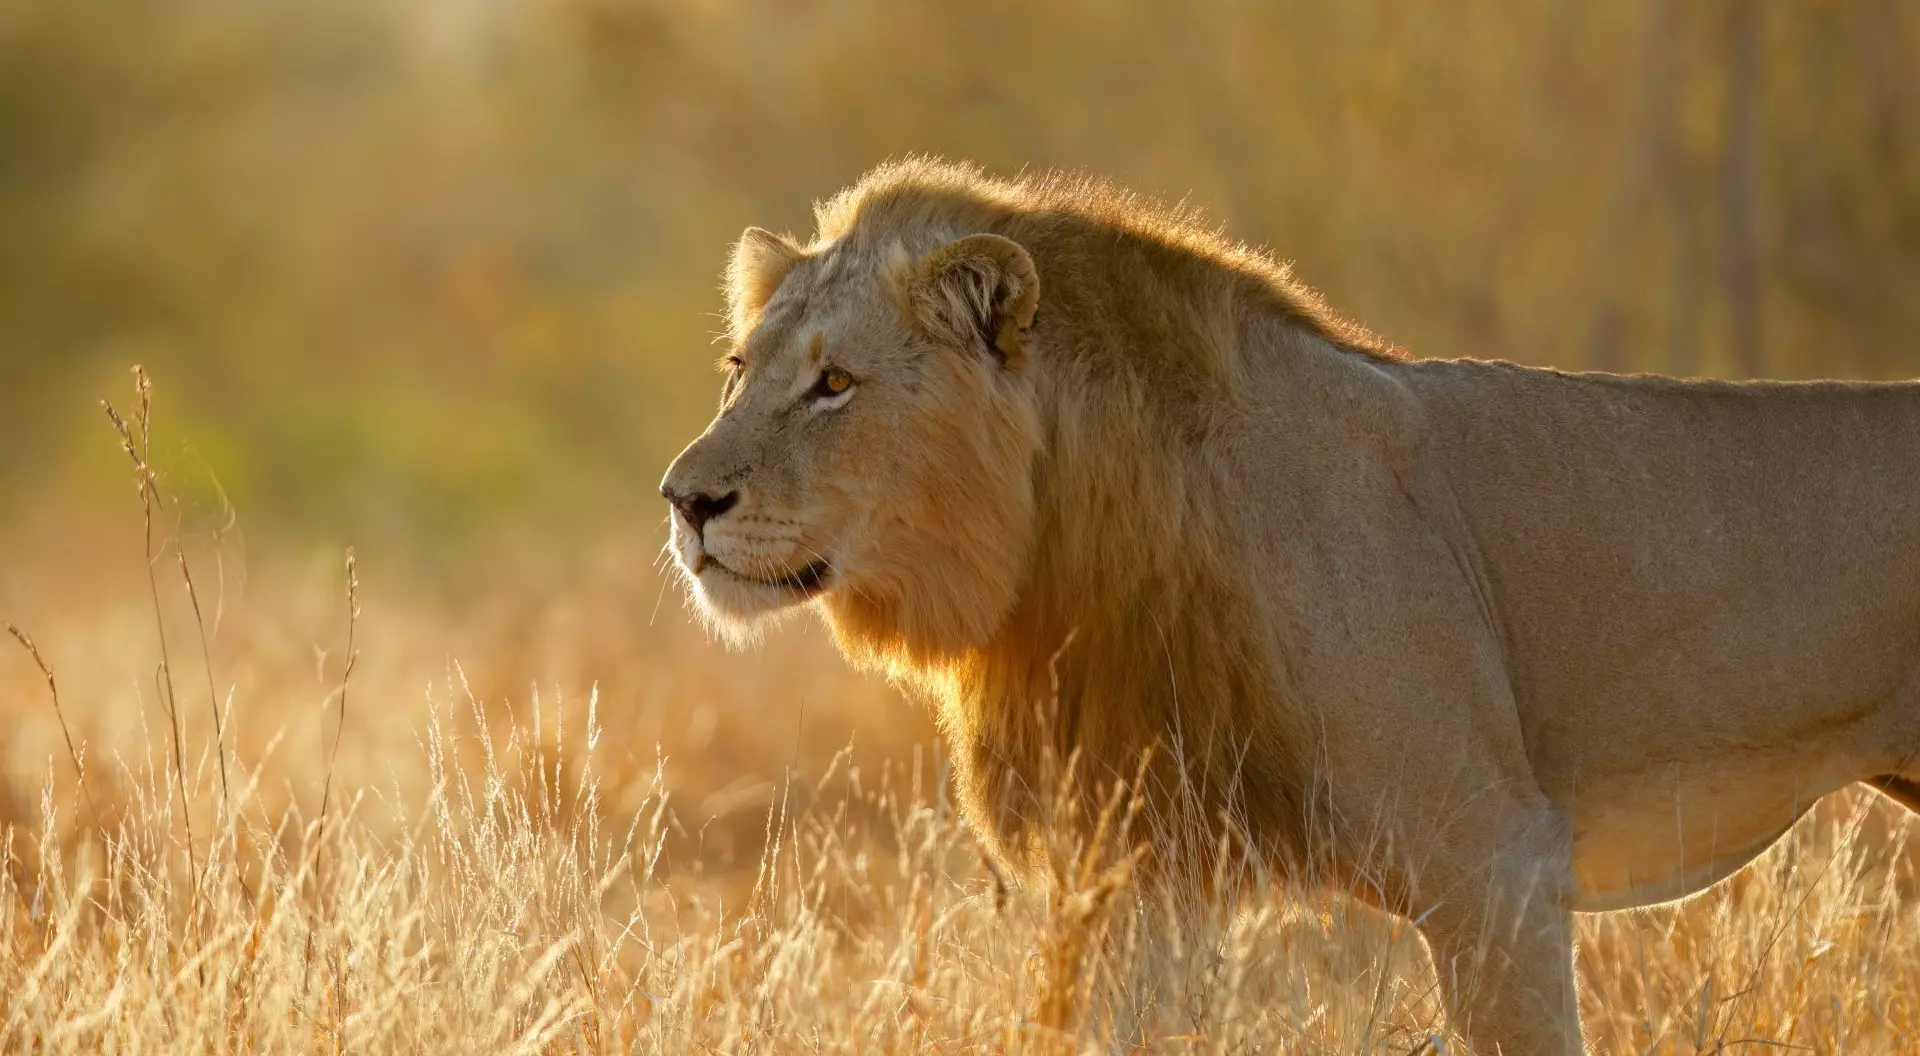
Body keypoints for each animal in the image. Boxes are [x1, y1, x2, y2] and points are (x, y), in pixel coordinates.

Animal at [659, 157, 1920, 1054]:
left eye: (835, 383)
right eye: (738, 371)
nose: (685, 500)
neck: (1062, 555)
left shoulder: (1495, 865)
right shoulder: (1137, 878)